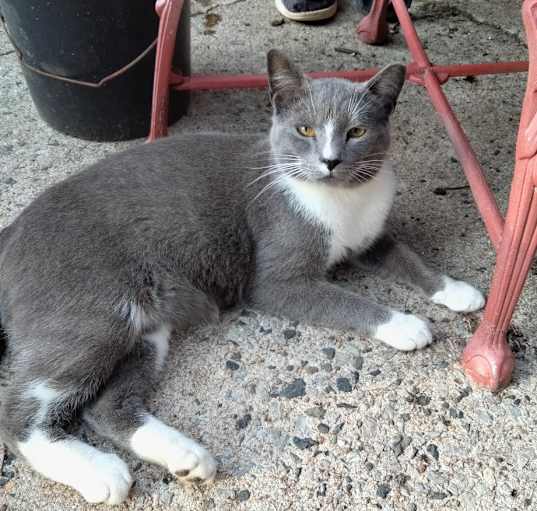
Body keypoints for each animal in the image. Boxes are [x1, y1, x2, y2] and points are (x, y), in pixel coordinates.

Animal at [0, 50, 484, 506]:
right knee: (19, 412)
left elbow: (408, 257)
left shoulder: (371, 239)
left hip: (146, 329)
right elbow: (349, 302)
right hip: (95, 315)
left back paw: (185, 456)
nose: (330, 161)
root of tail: (12, 231)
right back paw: (101, 473)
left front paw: (457, 291)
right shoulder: (275, 282)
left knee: (104, 406)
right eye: (306, 130)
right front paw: (404, 324)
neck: (342, 202)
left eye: (357, 133)